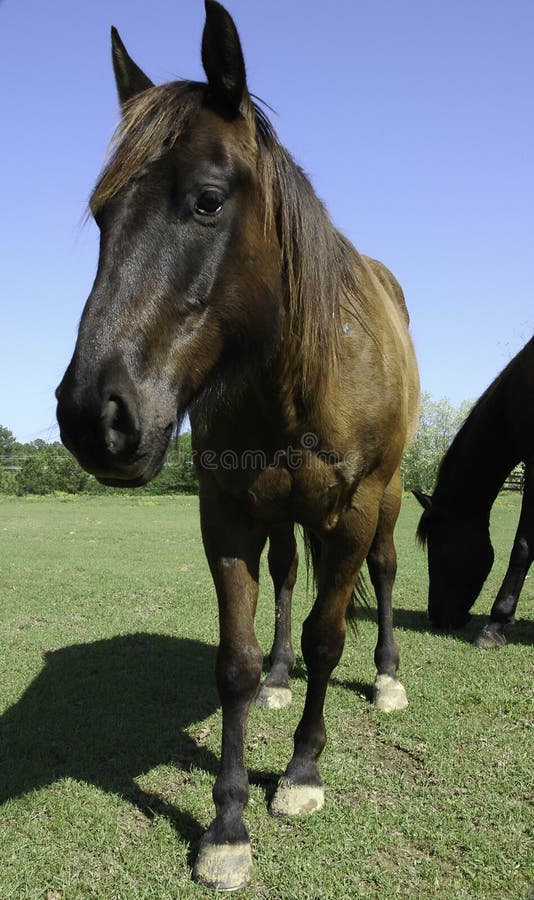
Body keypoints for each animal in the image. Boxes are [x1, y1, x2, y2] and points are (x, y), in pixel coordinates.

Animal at [56, 1, 420, 890]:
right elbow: (237, 661)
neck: (298, 373)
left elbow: (330, 636)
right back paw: (284, 682)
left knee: (384, 572)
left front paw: (299, 774)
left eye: (208, 201)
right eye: (102, 216)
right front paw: (226, 824)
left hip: (387, 497)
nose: (94, 417)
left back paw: (387, 677)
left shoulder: (352, 512)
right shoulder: (226, 515)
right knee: (288, 580)